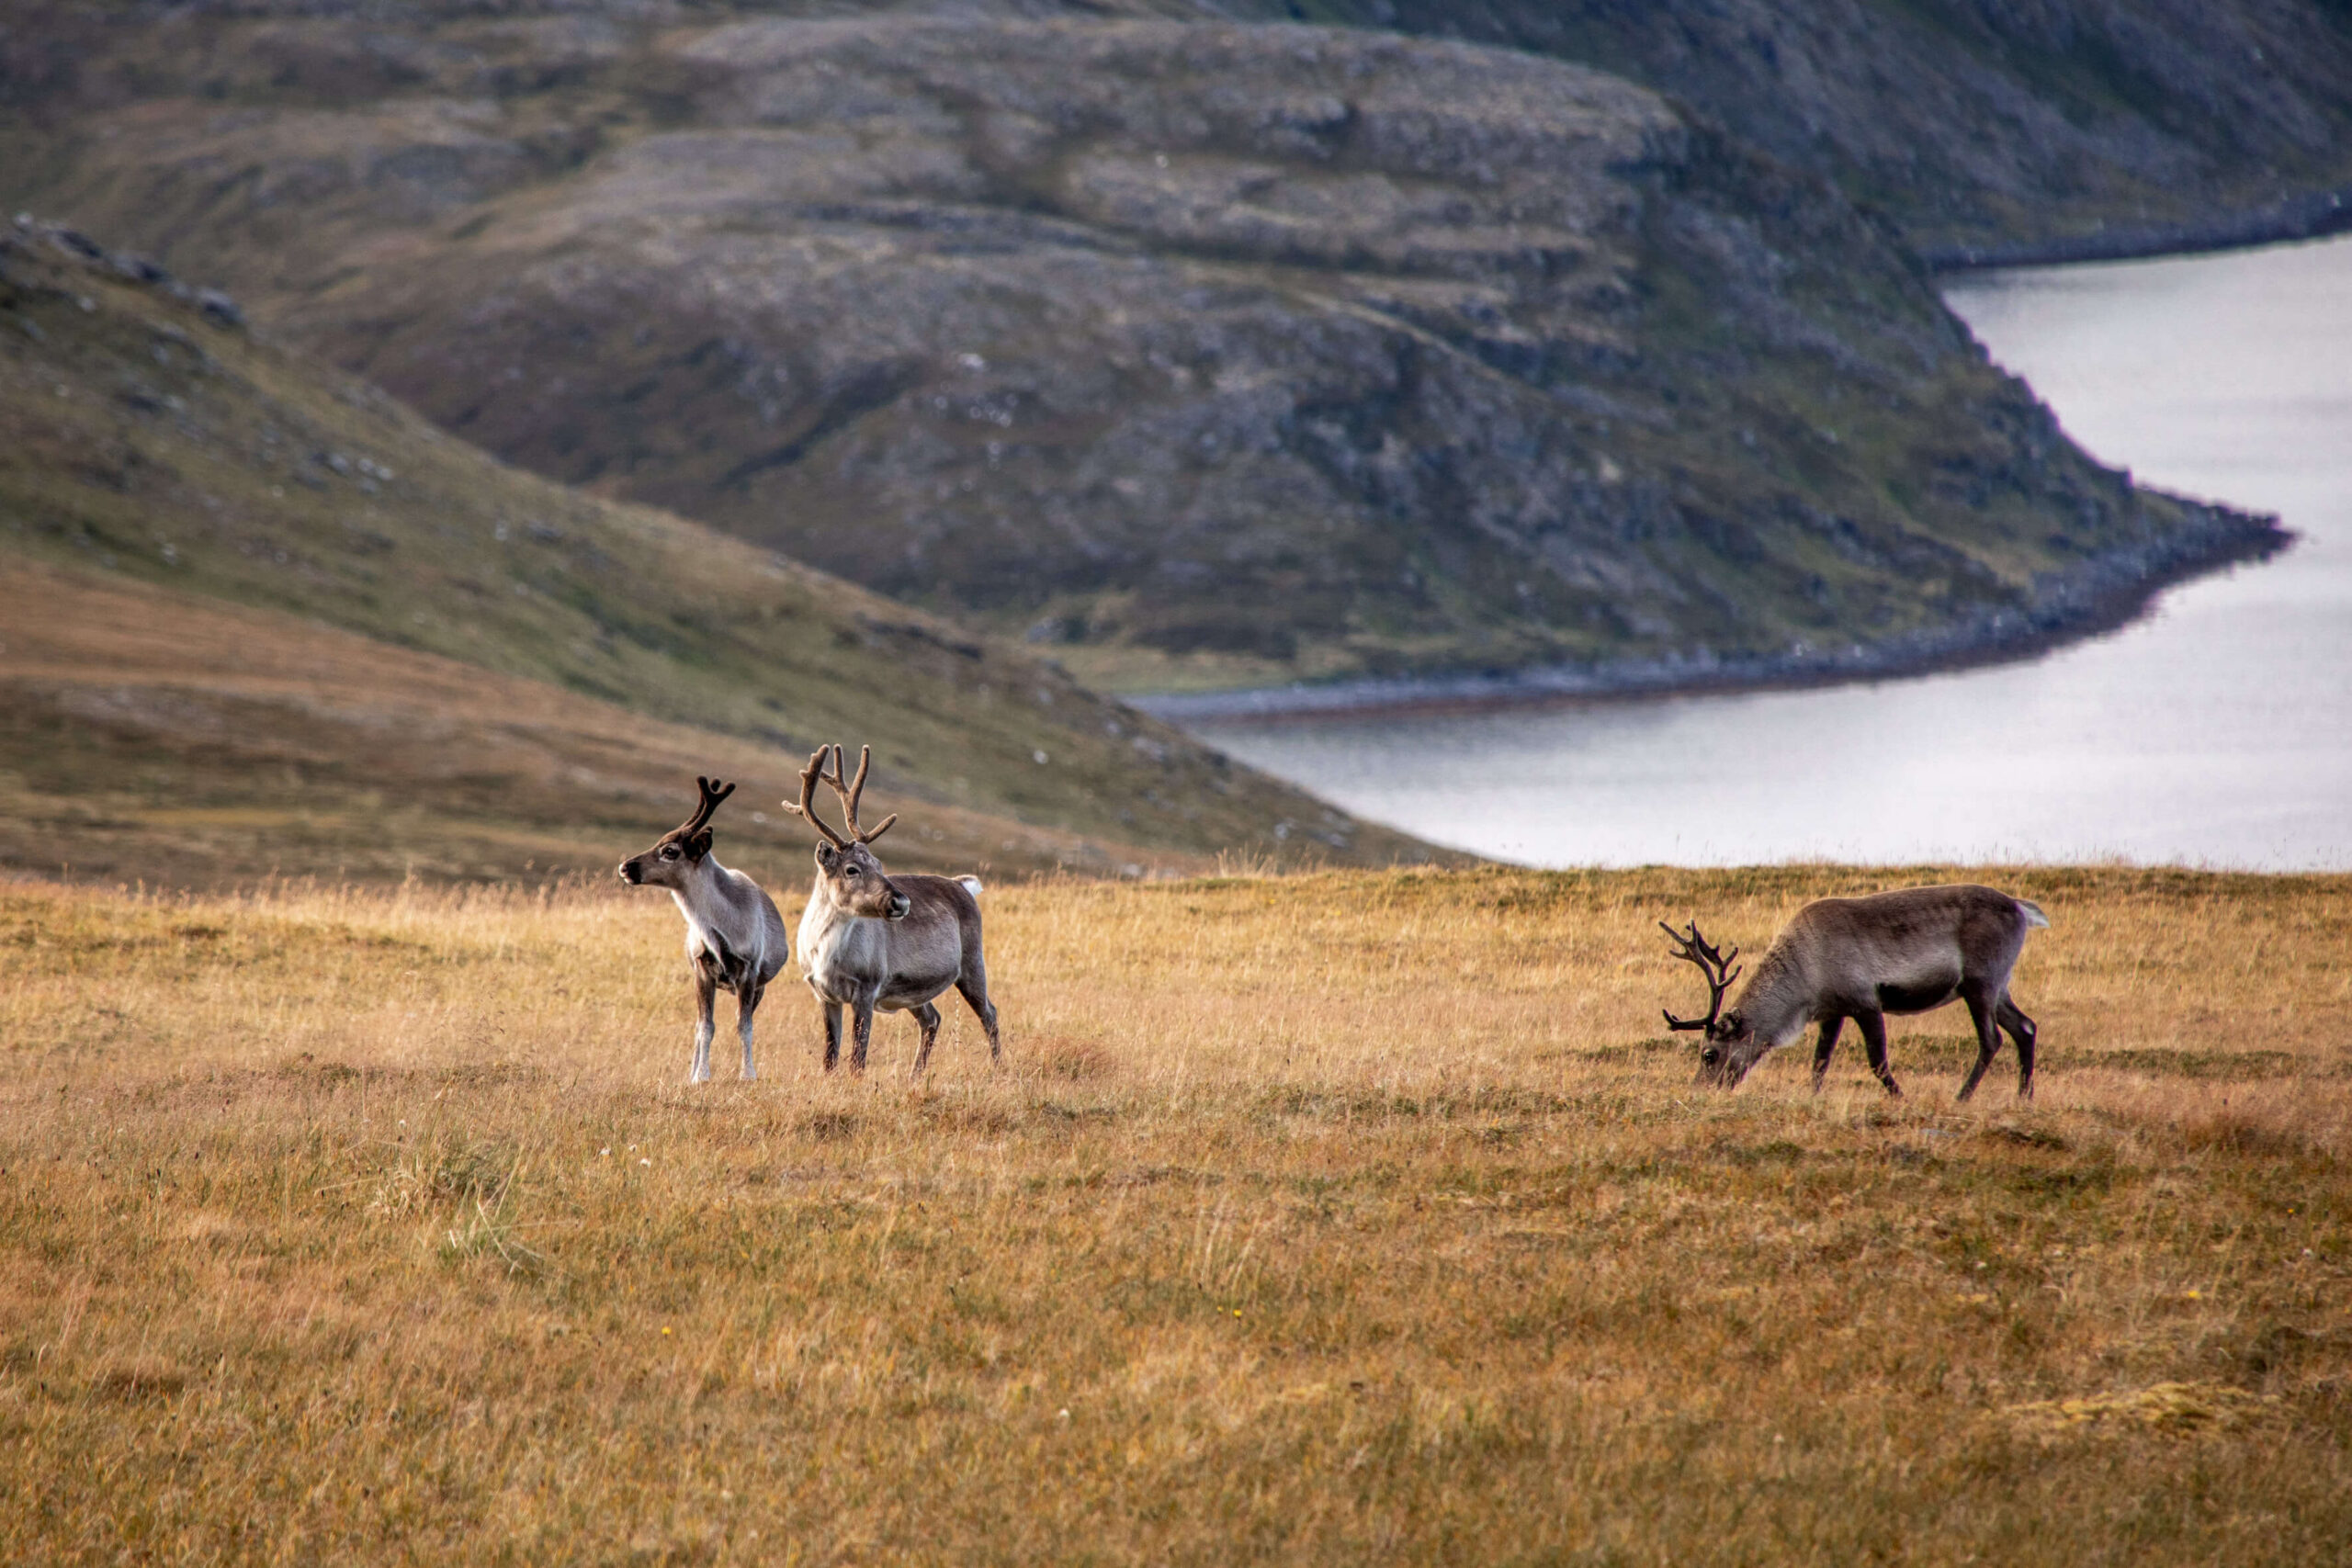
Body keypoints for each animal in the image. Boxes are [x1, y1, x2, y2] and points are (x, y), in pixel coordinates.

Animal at [617, 775, 791, 1084]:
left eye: (670, 851)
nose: (626, 867)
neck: (724, 928)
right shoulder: (702, 970)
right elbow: (705, 1027)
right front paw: (700, 1076)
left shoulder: (749, 972)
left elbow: (744, 1026)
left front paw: (748, 1074)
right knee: (699, 1026)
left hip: (759, 986)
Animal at [783, 743, 1001, 1076]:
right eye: (851, 869)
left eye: (879, 864)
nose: (902, 901)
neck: (825, 952)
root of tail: (963, 886)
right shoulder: (823, 995)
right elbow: (830, 1057)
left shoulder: (867, 988)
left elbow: (858, 1058)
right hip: (914, 989)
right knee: (932, 1018)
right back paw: (915, 1075)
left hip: (972, 963)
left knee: (990, 1014)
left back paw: (1000, 1069)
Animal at [1660, 885, 2049, 1101]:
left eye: (1708, 1054)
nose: (1698, 1090)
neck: (1804, 976)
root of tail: (2021, 907)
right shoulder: (1833, 1011)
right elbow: (1819, 1062)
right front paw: (1813, 1099)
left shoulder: (1865, 1001)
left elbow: (1877, 1061)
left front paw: (1901, 1099)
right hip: (1999, 985)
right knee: (2025, 1027)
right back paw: (2024, 1097)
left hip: (1979, 982)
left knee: (1991, 1039)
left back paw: (1962, 1097)